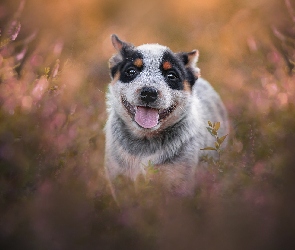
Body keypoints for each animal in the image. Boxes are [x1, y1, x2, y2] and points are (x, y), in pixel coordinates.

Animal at [105, 35, 230, 195]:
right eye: (131, 71)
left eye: (171, 75)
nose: (148, 92)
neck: (144, 145)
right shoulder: (119, 177)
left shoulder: (177, 180)